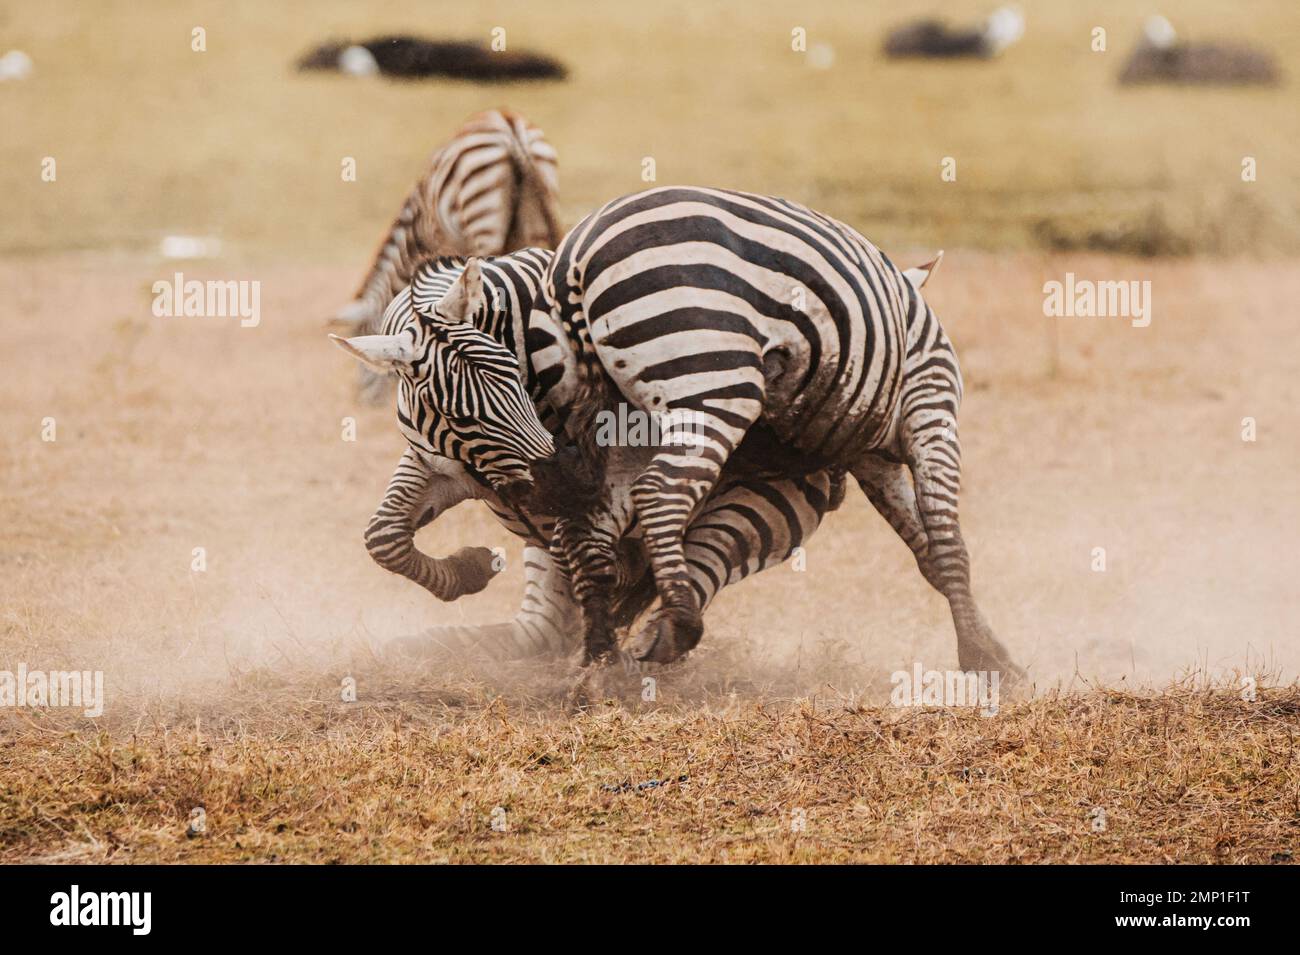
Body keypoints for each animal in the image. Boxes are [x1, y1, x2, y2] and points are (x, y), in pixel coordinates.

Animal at [331, 252, 847, 661]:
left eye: (515, 376)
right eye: (460, 417)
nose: (569, 483)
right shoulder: (436, 462)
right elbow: (384, 537)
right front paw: (468, 570)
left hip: (757, 507)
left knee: (698, 564)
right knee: (542, 627)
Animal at [332, 109, 563, 401]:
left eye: (364, 331)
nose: (364, 399)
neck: (414, 236)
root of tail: (508, 125)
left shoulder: (445, 245)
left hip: (480, 211)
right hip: (542, 198)